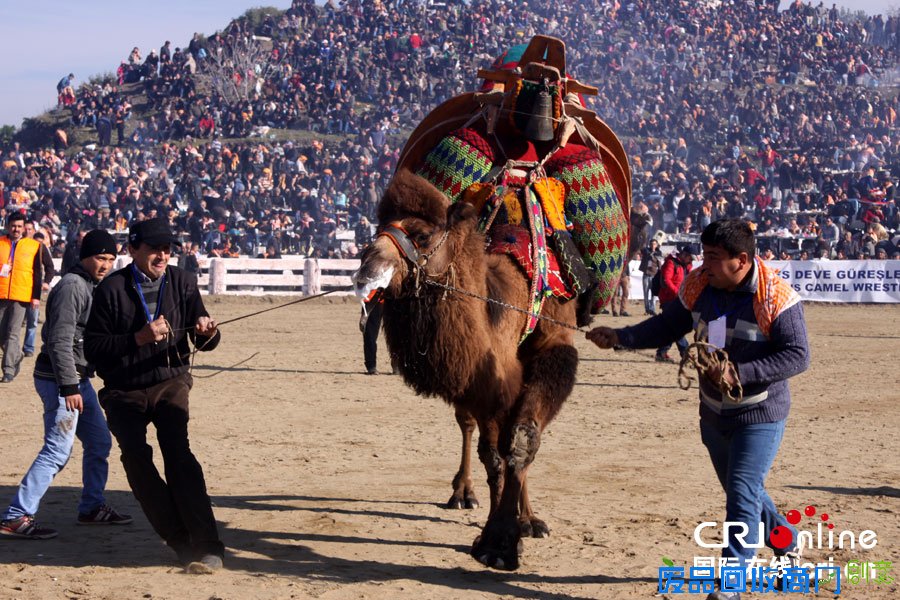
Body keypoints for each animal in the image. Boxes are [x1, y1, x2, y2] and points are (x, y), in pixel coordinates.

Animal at [356, 166, 580, 568]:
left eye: (423, 235)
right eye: (379, 226)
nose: (368, 265)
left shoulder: (538, 358)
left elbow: (519, 440)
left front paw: (513, 531)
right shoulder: (481, 386)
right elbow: (492, 457)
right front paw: (497, 536)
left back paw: (528, 519)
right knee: (468, 426)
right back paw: (463, 492)